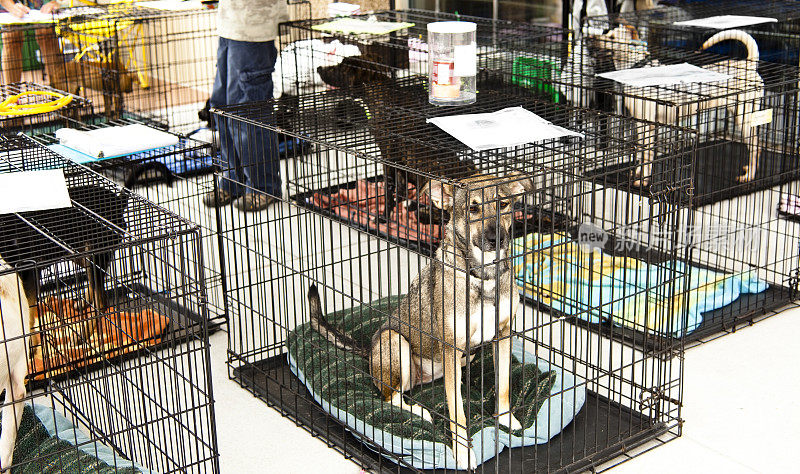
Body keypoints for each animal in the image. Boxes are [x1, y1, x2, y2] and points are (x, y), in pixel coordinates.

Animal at [310, 171, 536, 470]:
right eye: (472, 208)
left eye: (504, 204)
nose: (496, 238)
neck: (483, 277)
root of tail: (368, 353)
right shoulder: (452, 347)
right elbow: (458, 414)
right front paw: (463, 454)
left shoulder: (504, 334)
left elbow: (504, 388)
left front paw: (506, 420)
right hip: (394, 341)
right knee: (390, 397)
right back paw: (419, 412)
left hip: (463, 358)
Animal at [592, 24, 764, 184]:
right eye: (606, 32)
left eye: (612, 38)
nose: (591, 38)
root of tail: (749, 65)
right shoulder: (640, 124)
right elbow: (641, 152)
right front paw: (637, 174)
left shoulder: (648, 125)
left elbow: (647, 154)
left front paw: (643, 180)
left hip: (744, 119)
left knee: (756, 146)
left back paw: (749, 176)